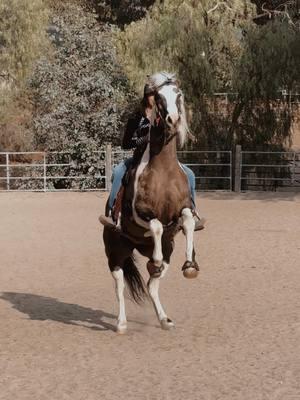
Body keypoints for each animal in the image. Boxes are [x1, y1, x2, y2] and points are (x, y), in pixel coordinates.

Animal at [102, 72, 199, 334]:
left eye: (178, 95)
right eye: (159, 97)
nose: (173, 119)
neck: (164, 171)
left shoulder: (183, 209)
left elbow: (187, 221)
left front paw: (190, 264)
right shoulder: (140, 213)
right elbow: (155, 225)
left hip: (168, 250)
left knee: (152, 284)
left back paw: (164, 319)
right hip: (115, 252)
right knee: (119, 285)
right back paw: (121, 323)